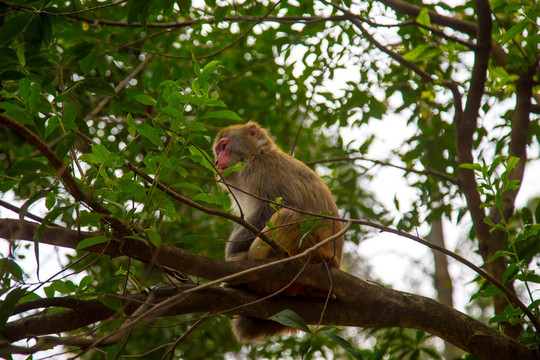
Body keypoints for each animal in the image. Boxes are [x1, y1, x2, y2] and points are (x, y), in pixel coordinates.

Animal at [213, 121, 344, 344]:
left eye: (223, 146)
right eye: (217, 150)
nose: (215, 161)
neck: (256, 153)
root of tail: (334, 263)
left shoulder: (259, 171)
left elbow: (275, 208)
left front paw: (232, 251)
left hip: (310, 254)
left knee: (288, 215)